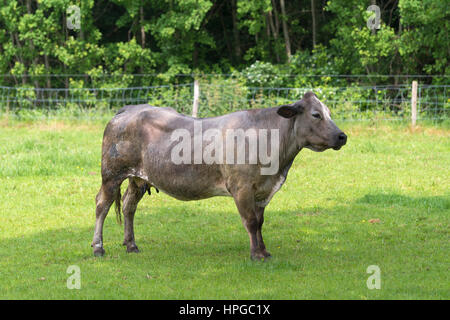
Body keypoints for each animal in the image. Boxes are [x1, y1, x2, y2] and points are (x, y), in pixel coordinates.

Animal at [91, 90, 348, 260]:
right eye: (316, 115)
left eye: (329, 113)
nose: (342, 136)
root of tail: (131, 108)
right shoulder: (241, 187)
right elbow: (251, 222)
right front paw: (256, 254)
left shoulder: (262, 190)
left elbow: (260, 222)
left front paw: (264, 250)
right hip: (111, 173)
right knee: (102, 205)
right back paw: (98, 247)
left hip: (138, 178)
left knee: (128, 206)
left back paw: (131, 245)